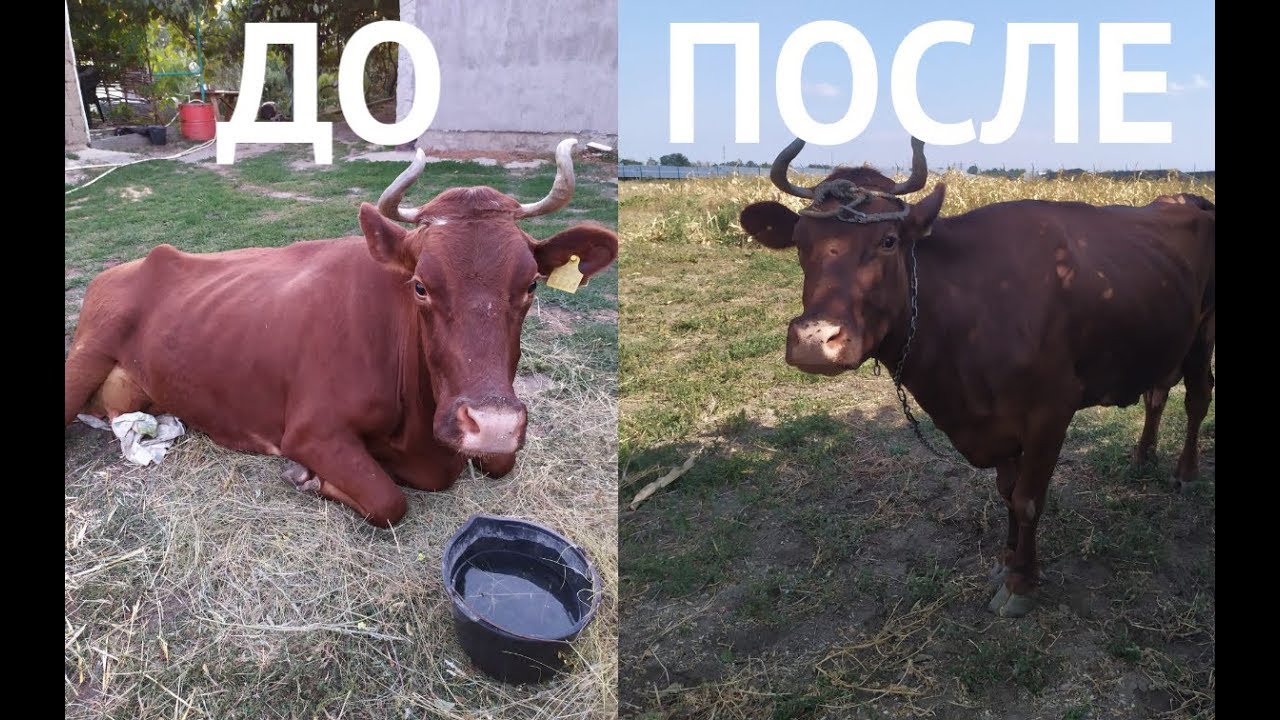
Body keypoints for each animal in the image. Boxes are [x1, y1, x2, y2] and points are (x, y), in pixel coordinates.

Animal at [64, 139, 618, 528]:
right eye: (421, 285)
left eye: (531, 285)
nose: (494, 423)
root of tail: (127, 266)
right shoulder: (312, 429)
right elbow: (388, 500)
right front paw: (306, 476)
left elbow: (499, 462)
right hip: (86, 354)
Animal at [738, 137, 1215, 616]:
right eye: (800, 243)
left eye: (888, 241)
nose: (815, 340)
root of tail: (1187, 198)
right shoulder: (994, 420)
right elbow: (1007, 491)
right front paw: (1006, 560)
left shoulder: (1051, 410)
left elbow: (1027, 499)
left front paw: (1022, 581)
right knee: (1156, 395)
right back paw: (1142, 456)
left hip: (1203, 333)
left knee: (1197, 399)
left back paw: (1186, 473)